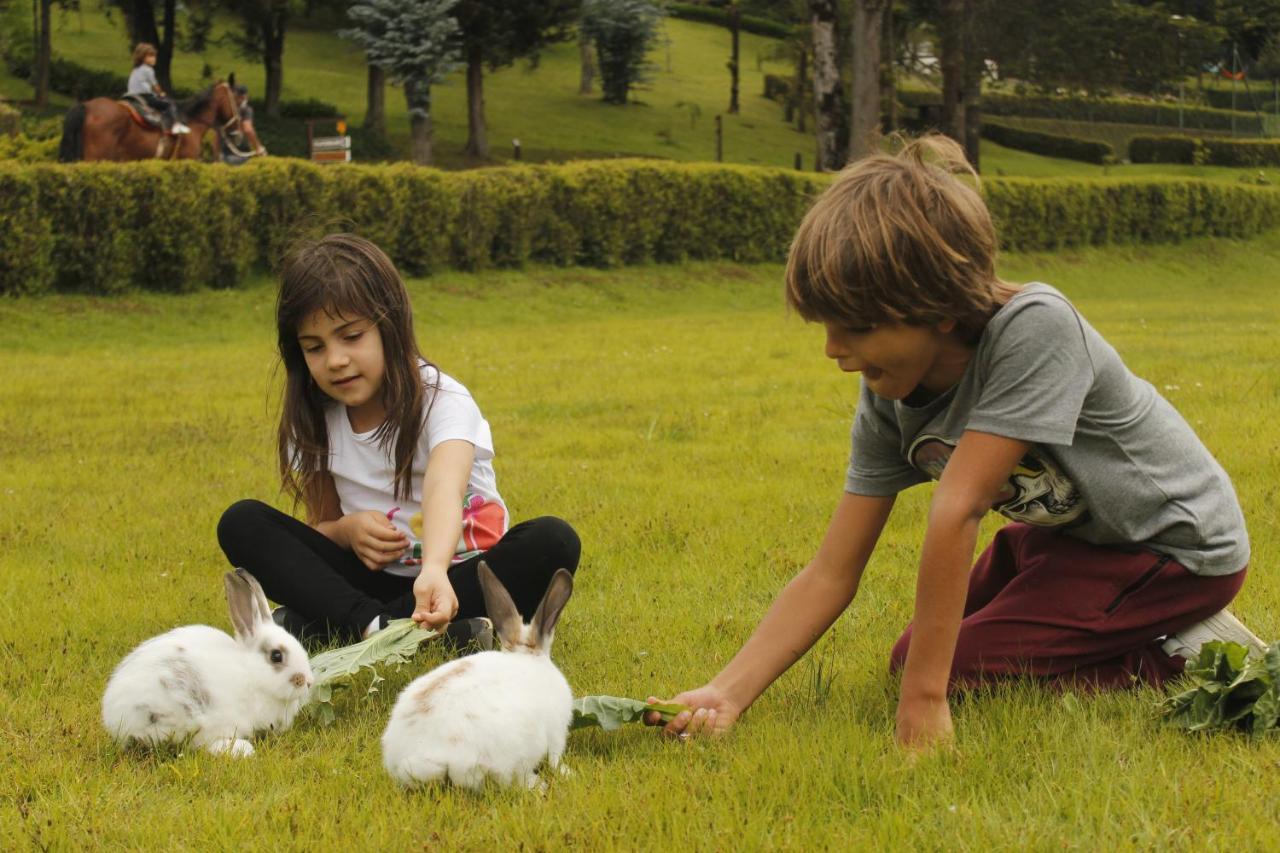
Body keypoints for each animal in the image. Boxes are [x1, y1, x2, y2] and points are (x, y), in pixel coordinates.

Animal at [376, 560, 573, 788]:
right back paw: (538, 785)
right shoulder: (556, 733)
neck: (527, 657)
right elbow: (555, 759)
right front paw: (566, 772)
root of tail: (424, 754)